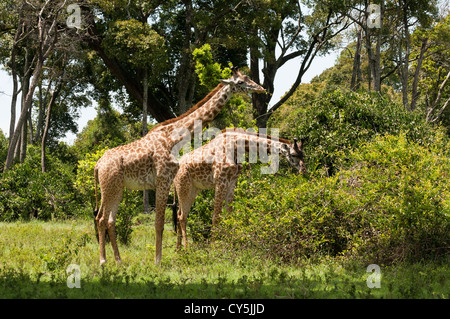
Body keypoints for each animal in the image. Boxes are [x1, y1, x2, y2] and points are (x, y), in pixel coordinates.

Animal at [93, 67, 266, 264]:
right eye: (240, 83)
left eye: (248, 78)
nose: (260, 88)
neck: (174, 138)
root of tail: (98, 165)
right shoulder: (163, 179)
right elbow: (160, 222)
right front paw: (158, 261)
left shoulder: (165, 181)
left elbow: (164, 221)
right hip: (109, 186)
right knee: (100, 218)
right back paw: (103, 261)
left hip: (117, 188)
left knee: (109, 220)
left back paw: (119, 261)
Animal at [172, 127, 306, 250]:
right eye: (293, 155)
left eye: (303, 155)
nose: (303, 171)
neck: (236, 146)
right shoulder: (220, 181)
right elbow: (216, 217)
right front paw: (214, 248)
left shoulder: (232, 182)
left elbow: (229, 215)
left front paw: (231, 244)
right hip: (184, 186)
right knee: (182, 217)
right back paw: (186, 250)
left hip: (193, 189)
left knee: (179, 214)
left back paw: (178, 250)